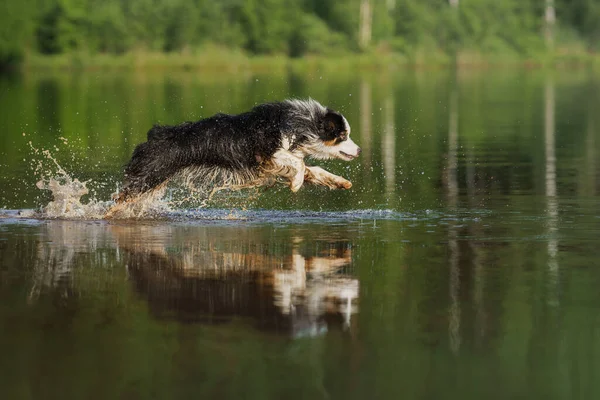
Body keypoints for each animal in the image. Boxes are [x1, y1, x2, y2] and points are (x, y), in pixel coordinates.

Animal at [115, 97, 364, 203]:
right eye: (343, 136)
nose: (360, 150)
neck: (301, 125)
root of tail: (153, 135)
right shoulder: (267, 154)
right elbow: (300, 163)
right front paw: (296, 184)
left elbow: (315, 169)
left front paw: (341, 182)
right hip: (148, 177)